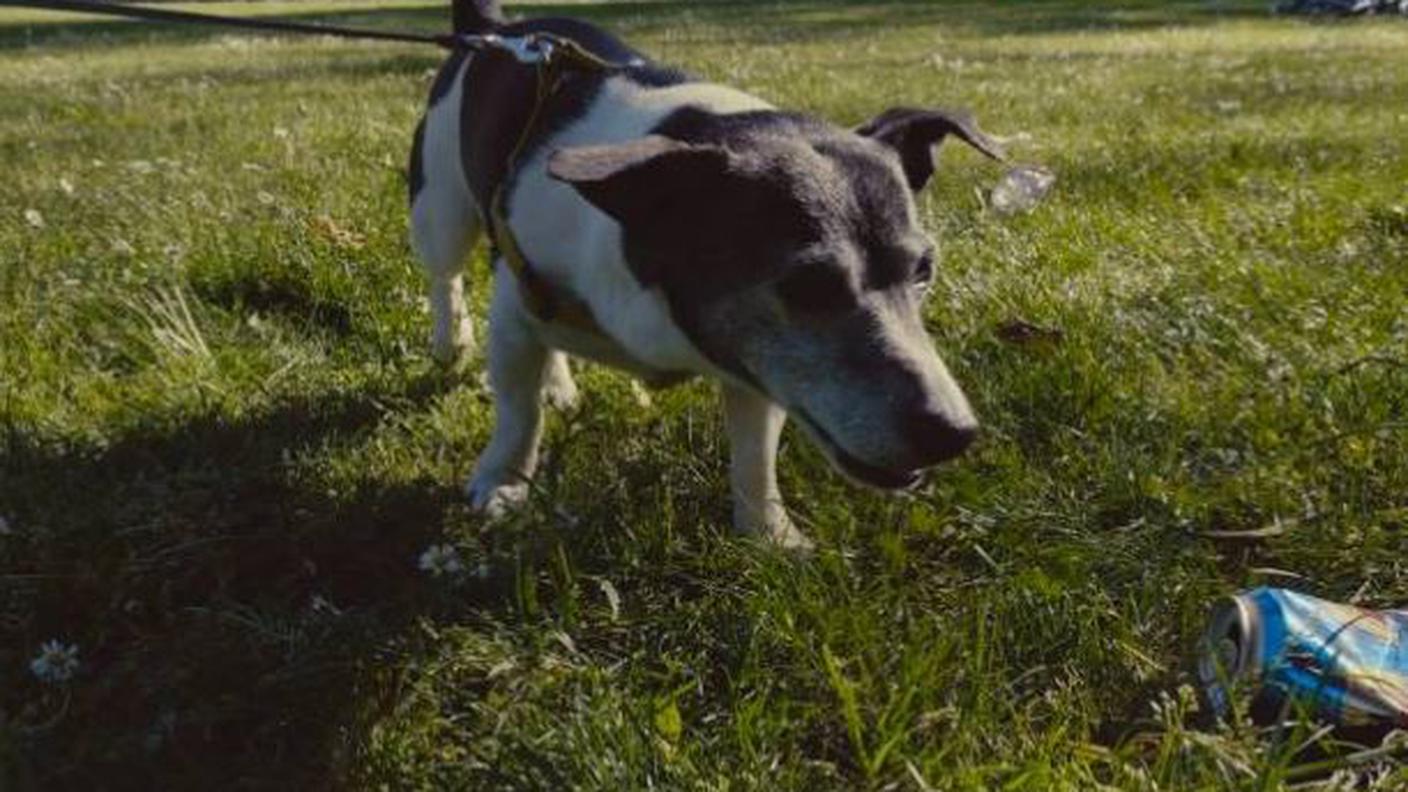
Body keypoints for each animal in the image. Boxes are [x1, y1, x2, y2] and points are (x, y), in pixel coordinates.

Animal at [408, 0, 1002, 546]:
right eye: (808, 286)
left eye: (924, 270)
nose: (955, 433)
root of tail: (497, 26)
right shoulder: (514, 310)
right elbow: (518, 412)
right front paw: (503, 482)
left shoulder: (755, 364)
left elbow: (755, 454)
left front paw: (769, 536)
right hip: (440, 210)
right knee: (445, 277)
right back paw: (451, 343)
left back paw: (557, 382)